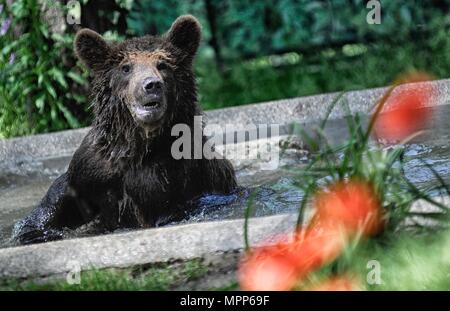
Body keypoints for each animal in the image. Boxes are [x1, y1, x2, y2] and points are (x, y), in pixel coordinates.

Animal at [11, 15, 236, 246]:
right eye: (126, 67)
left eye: (162, 64)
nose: (151, 85)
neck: (138, 146)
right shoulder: (91, 170)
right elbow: (52, 209)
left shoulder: (183, 176)